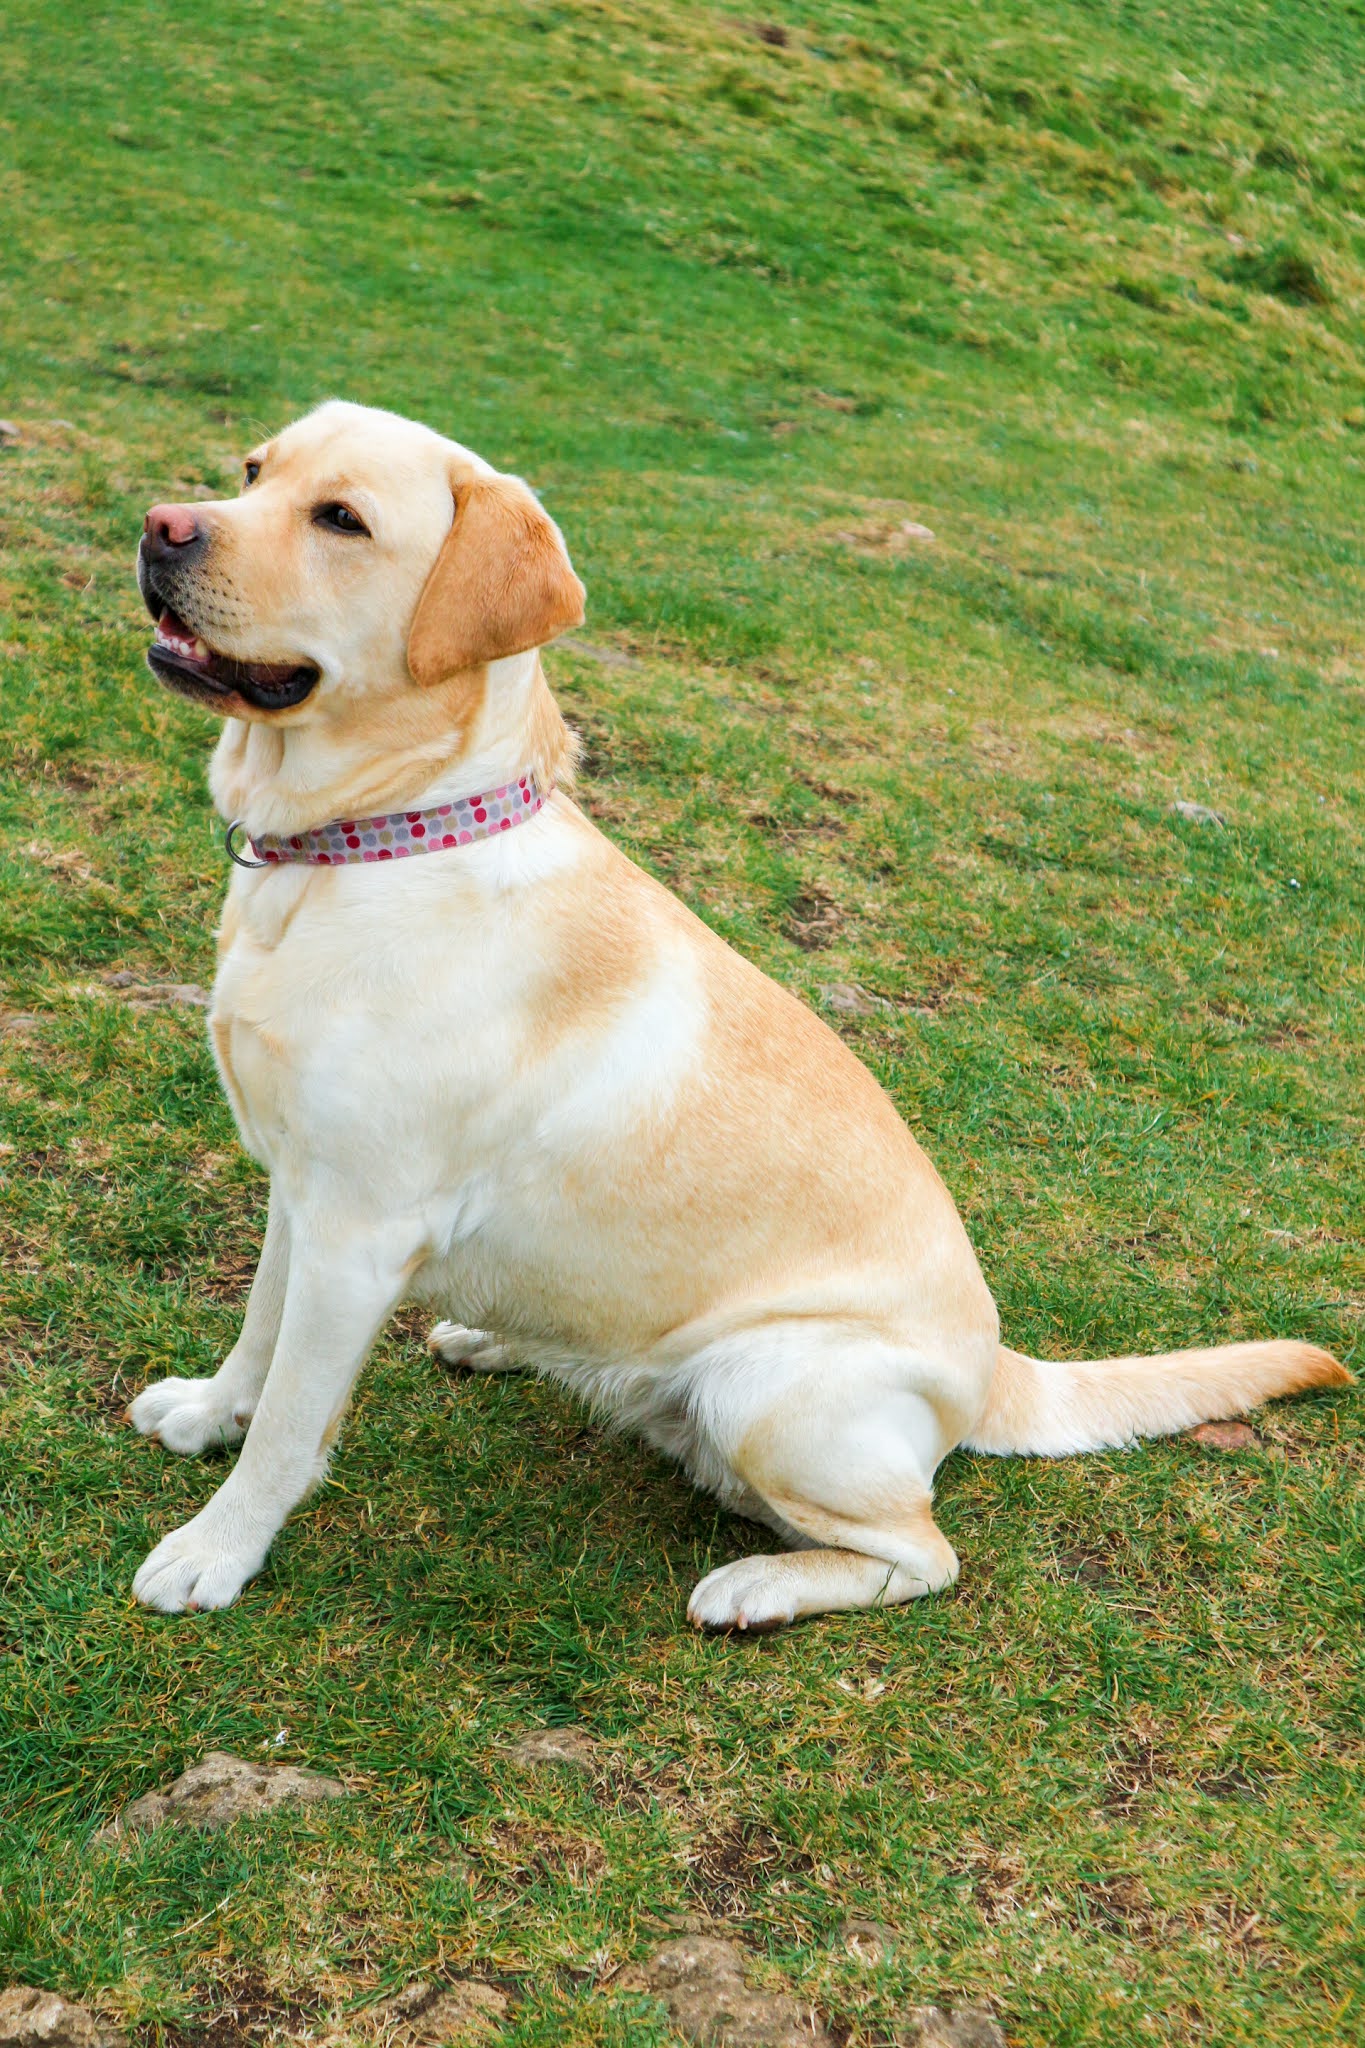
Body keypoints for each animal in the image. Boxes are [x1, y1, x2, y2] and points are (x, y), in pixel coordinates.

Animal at [127, 399, 1348, 1626]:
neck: (381, 840)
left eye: (342, 519)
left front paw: (215, 1549)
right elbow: (259, 1334)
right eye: (253, 471)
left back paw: (758, 1585)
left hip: (767, 1389)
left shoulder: (358, 1228)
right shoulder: (302, 1190)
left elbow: (292, 1424)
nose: (160, 524)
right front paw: (207, 1412)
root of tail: (996, 1369)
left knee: (922, 1552)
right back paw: (494, 1337)